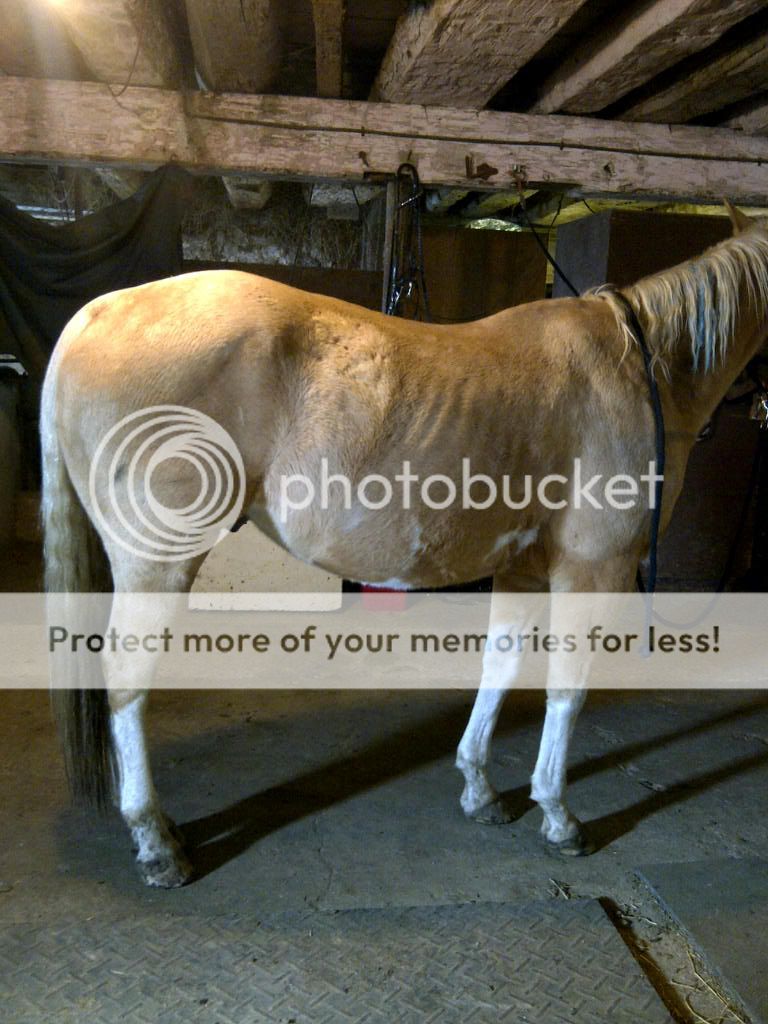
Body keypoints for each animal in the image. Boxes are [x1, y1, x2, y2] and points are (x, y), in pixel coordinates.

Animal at [40, 200, 768, 888]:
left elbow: (500, 667)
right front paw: (559, 816)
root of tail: (96, 314)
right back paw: (156, 843)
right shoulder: (595, 569)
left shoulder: (525, 569)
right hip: (155, 560)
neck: (638, 369)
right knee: (126, 679)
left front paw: (480, 790)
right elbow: (568, 688)